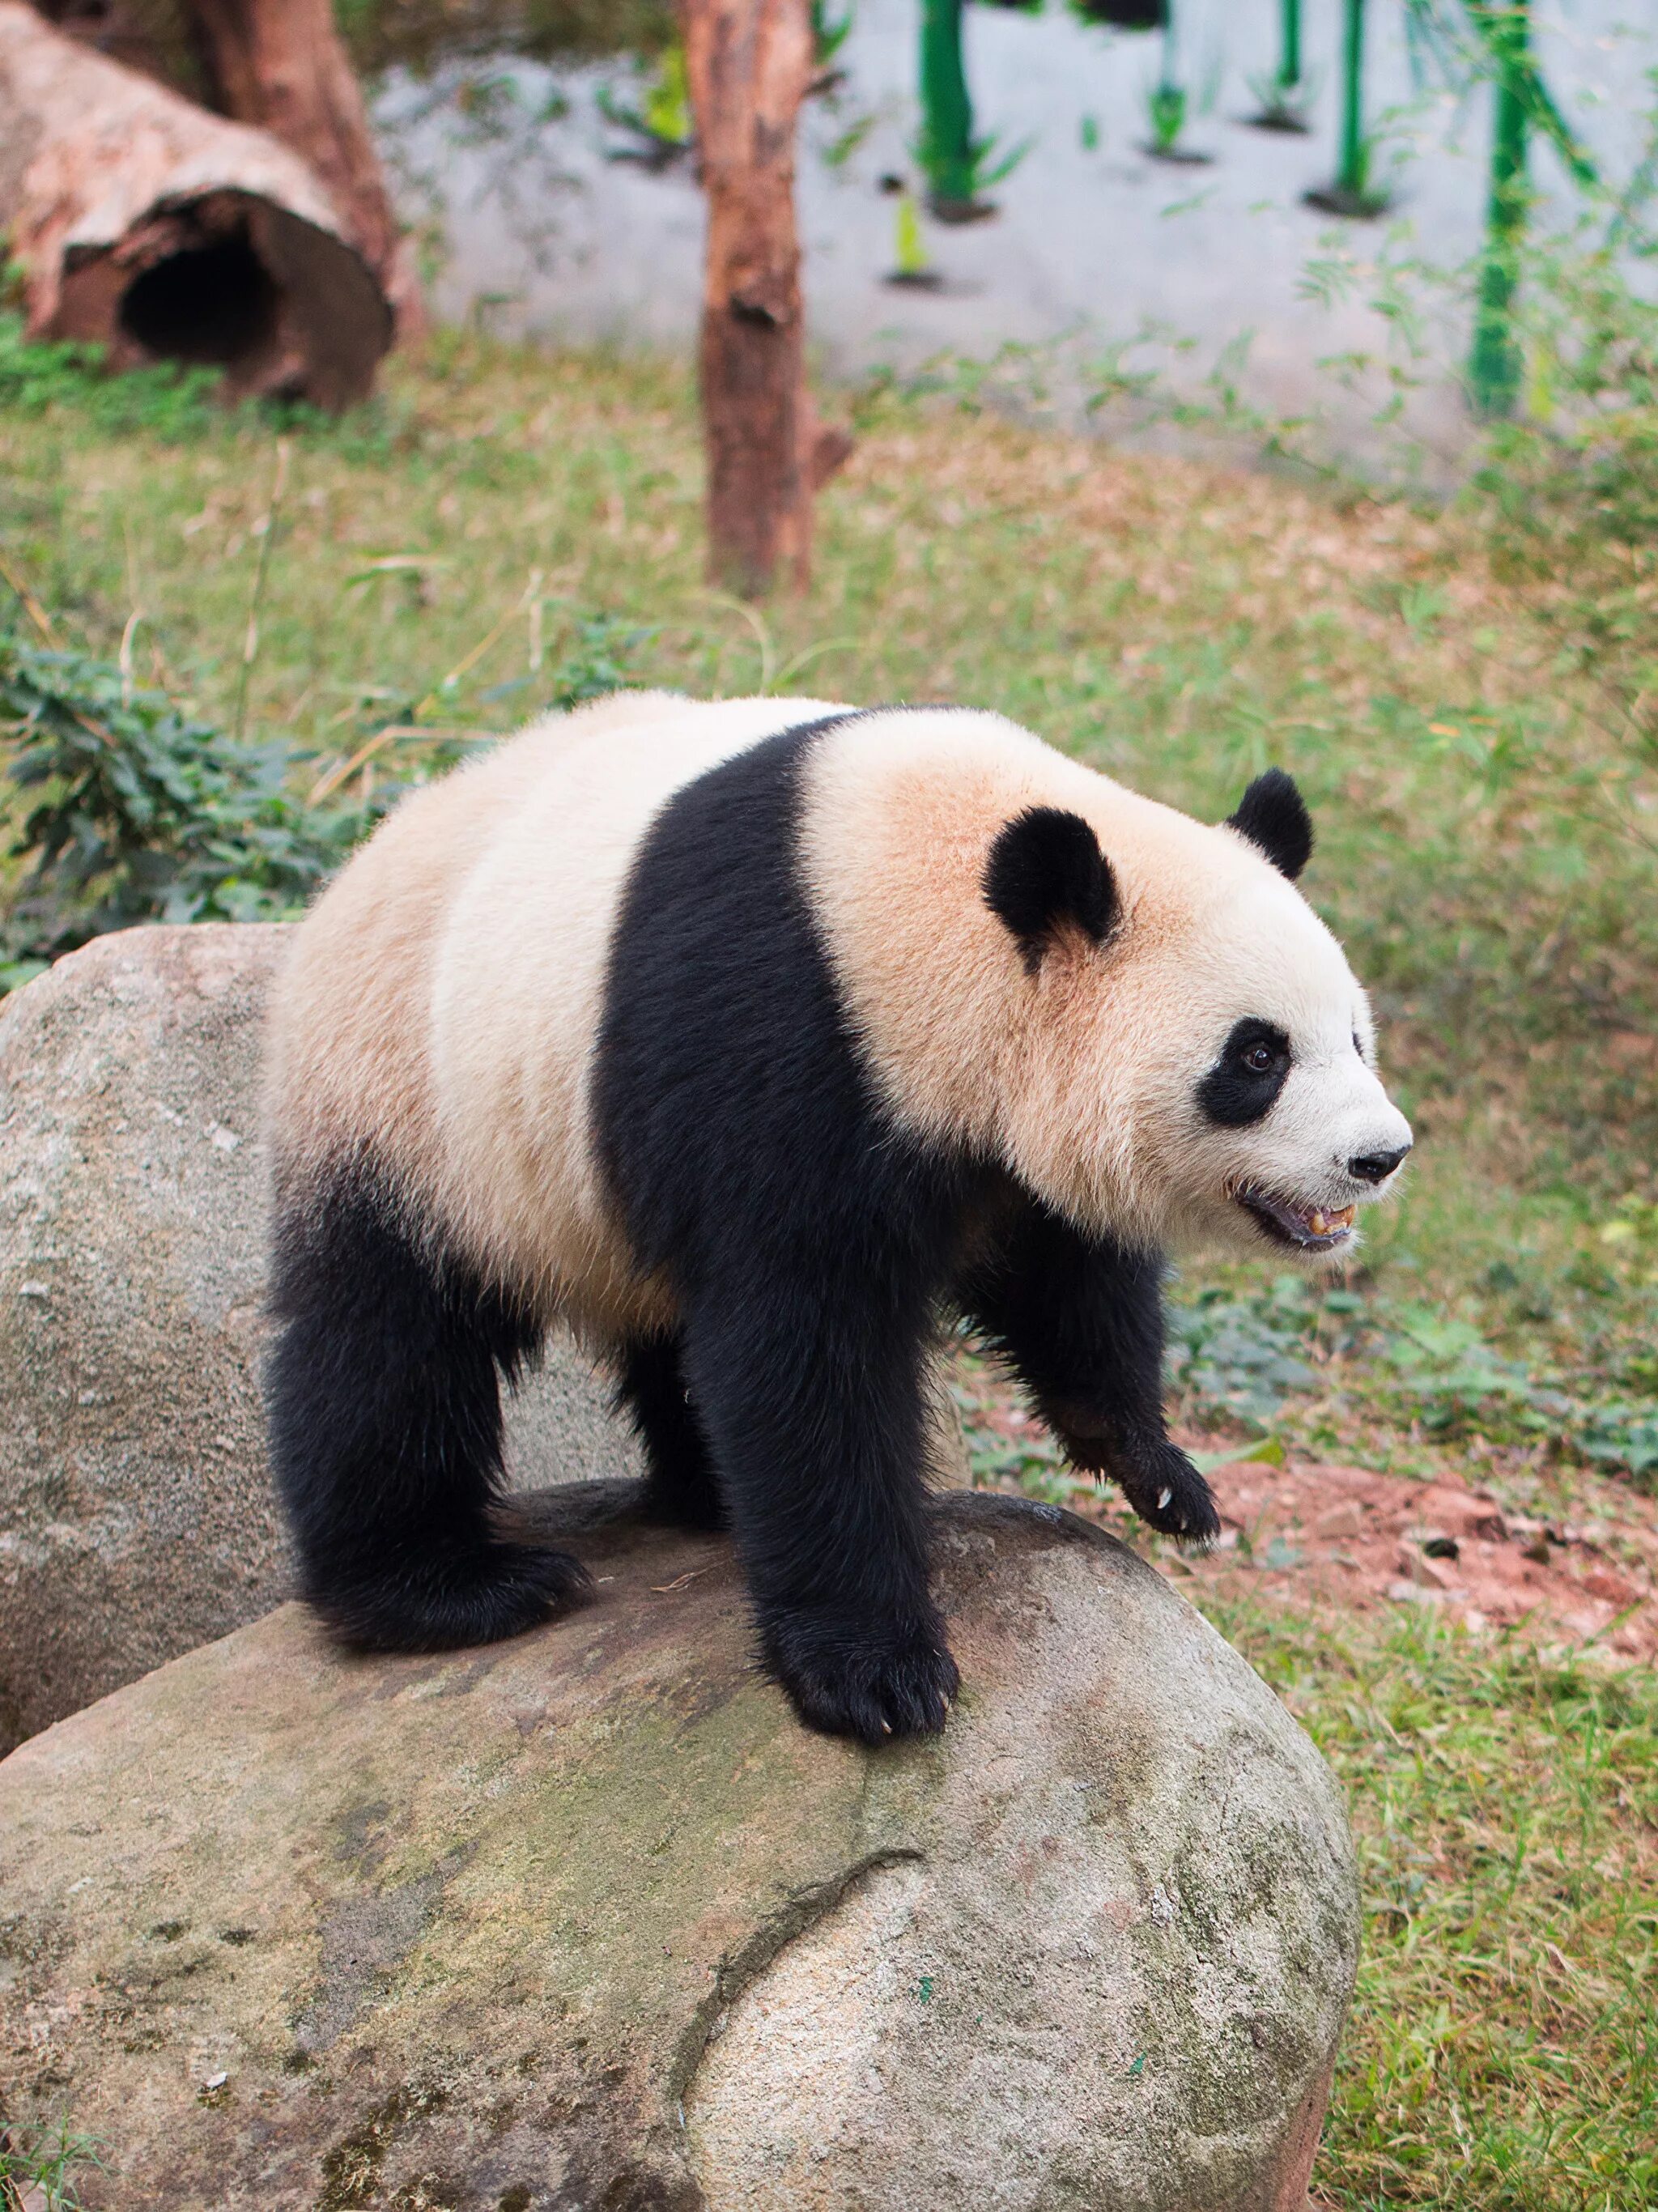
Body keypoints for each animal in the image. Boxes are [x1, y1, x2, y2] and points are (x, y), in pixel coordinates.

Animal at [262, 690, 1414, 1742]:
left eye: (1353, 1036)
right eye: (1256, 1056)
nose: (1378, 1156)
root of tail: (353, 867)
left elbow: (1065, 1271)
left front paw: (1158, 1473)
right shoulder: (781, 1035)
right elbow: (803, 1349)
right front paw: (875, 1672)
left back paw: (702, 1492)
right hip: (411, 1102)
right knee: (388, 1343)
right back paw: (447, 1588)